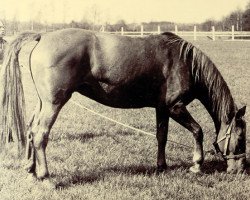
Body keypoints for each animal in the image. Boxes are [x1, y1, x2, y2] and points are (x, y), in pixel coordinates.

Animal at [0, 28, 246, 180]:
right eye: (241, 138)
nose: (240, 169)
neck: (185, 62)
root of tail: (42, 37)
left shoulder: (162, 109)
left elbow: (162, 136)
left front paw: (162, 167)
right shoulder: (175, 107)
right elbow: (198, 131)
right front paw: (196, 165)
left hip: (43, 103)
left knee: (30, 130)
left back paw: (31, 169)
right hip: (53, 103)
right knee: (40, 134)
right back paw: (45, 176)